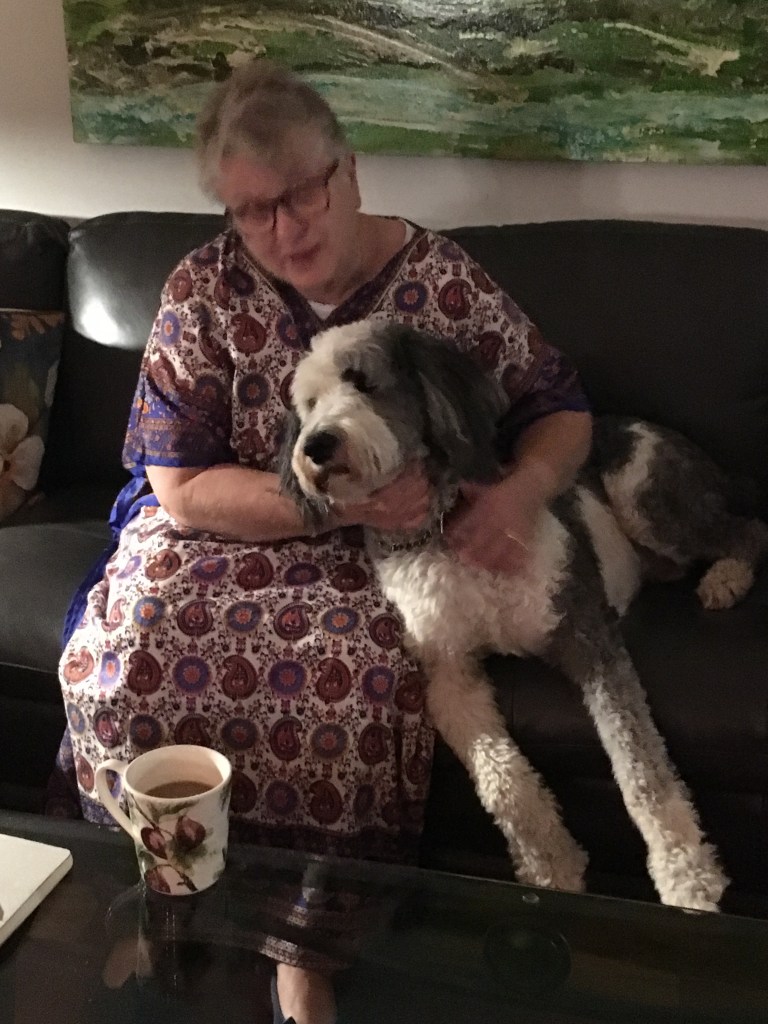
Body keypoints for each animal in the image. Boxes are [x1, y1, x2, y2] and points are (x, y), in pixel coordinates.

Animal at [279, 321, 768, 911]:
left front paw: (687, 876)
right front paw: (552, 865)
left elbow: (640, 768)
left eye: (362, 380)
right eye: (307, 405)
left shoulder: (587, 635)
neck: (438, 531)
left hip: (645, 493)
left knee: (748, 529)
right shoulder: (448, 674)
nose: (315, 445)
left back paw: (725, 578)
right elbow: (501, 778)